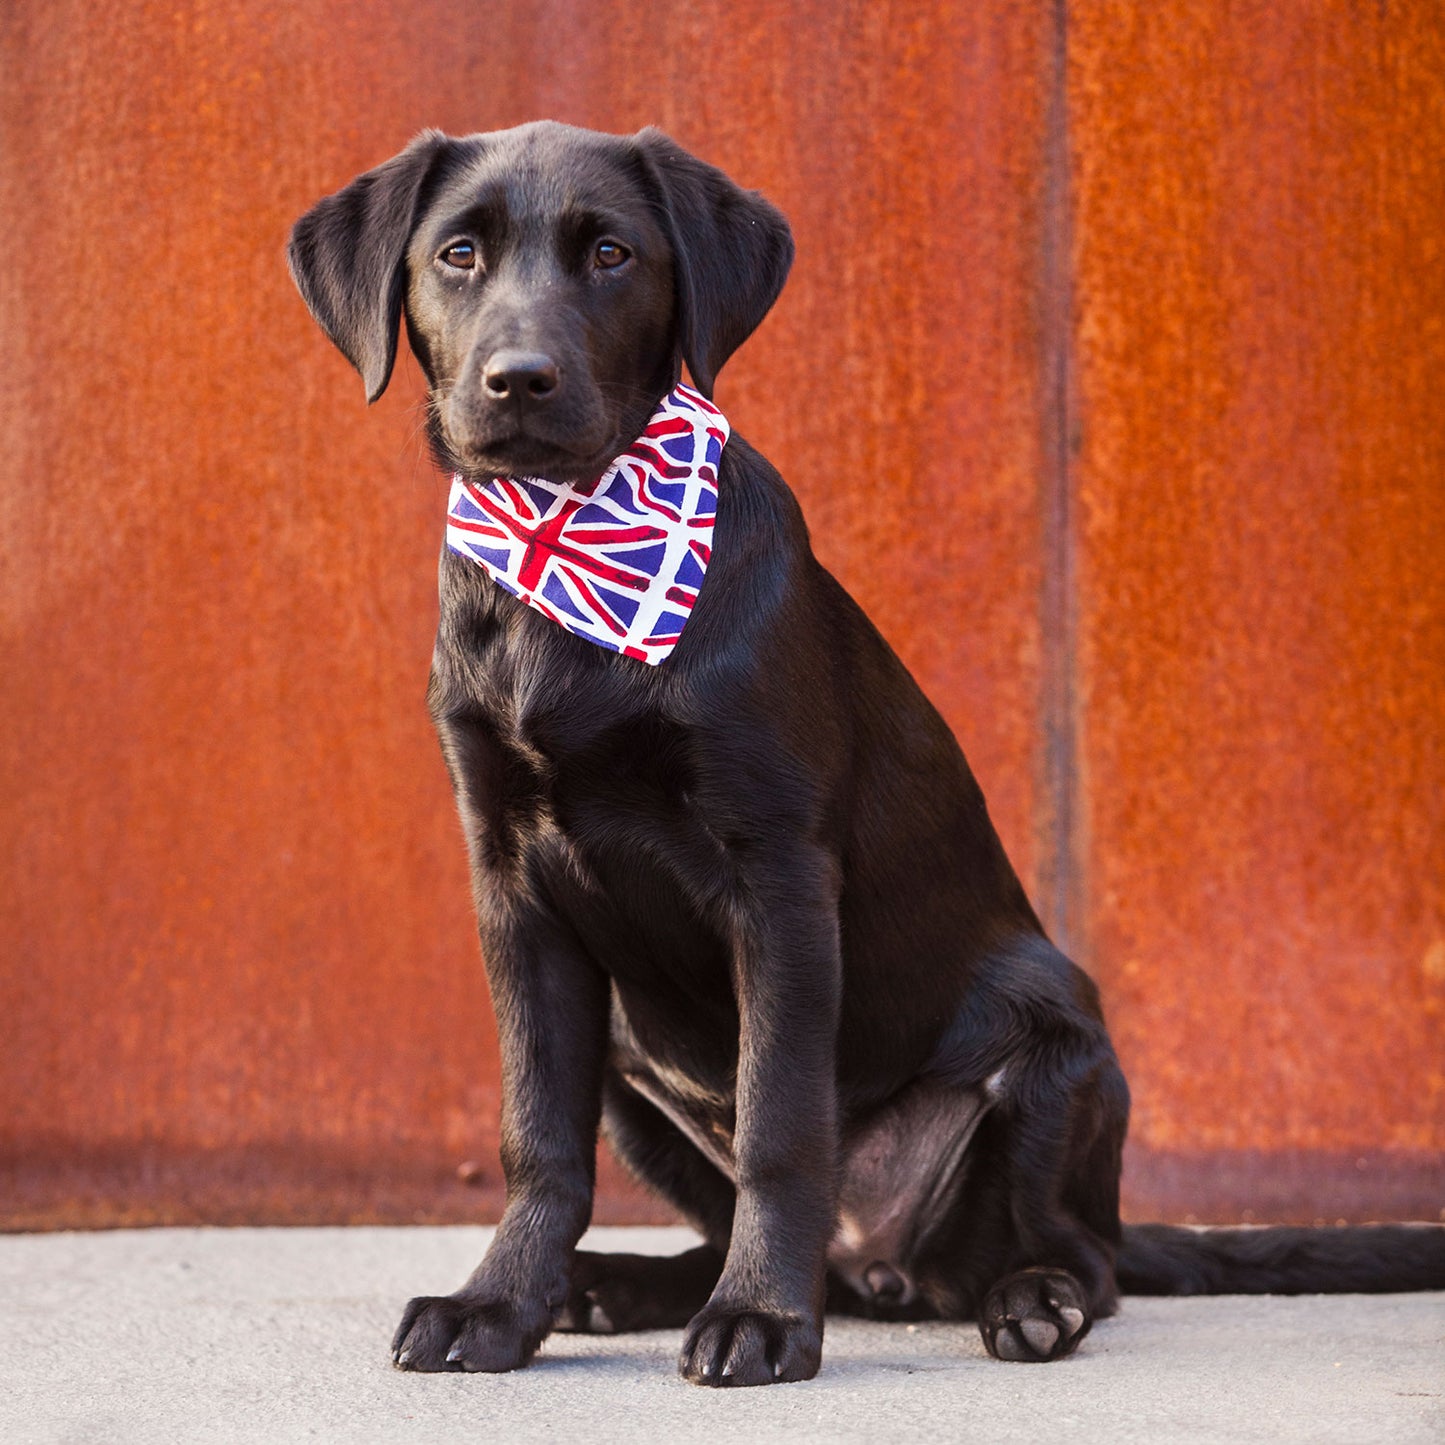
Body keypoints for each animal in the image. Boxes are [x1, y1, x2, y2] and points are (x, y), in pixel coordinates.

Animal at [290, 124, 1445, 1387]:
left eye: (609, 253)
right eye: (457, 253)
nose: (519, 377)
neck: (573, 546)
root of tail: (877, 1261)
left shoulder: (780, 875)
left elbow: (782, 1121)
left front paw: (760, 1318)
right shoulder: (513, 886)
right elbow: (537, 1135)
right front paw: (498, 1304)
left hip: (1054, 1034)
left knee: (1080, 1253)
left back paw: (1021, 1298)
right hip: (631, 1065)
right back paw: (619, 1283)